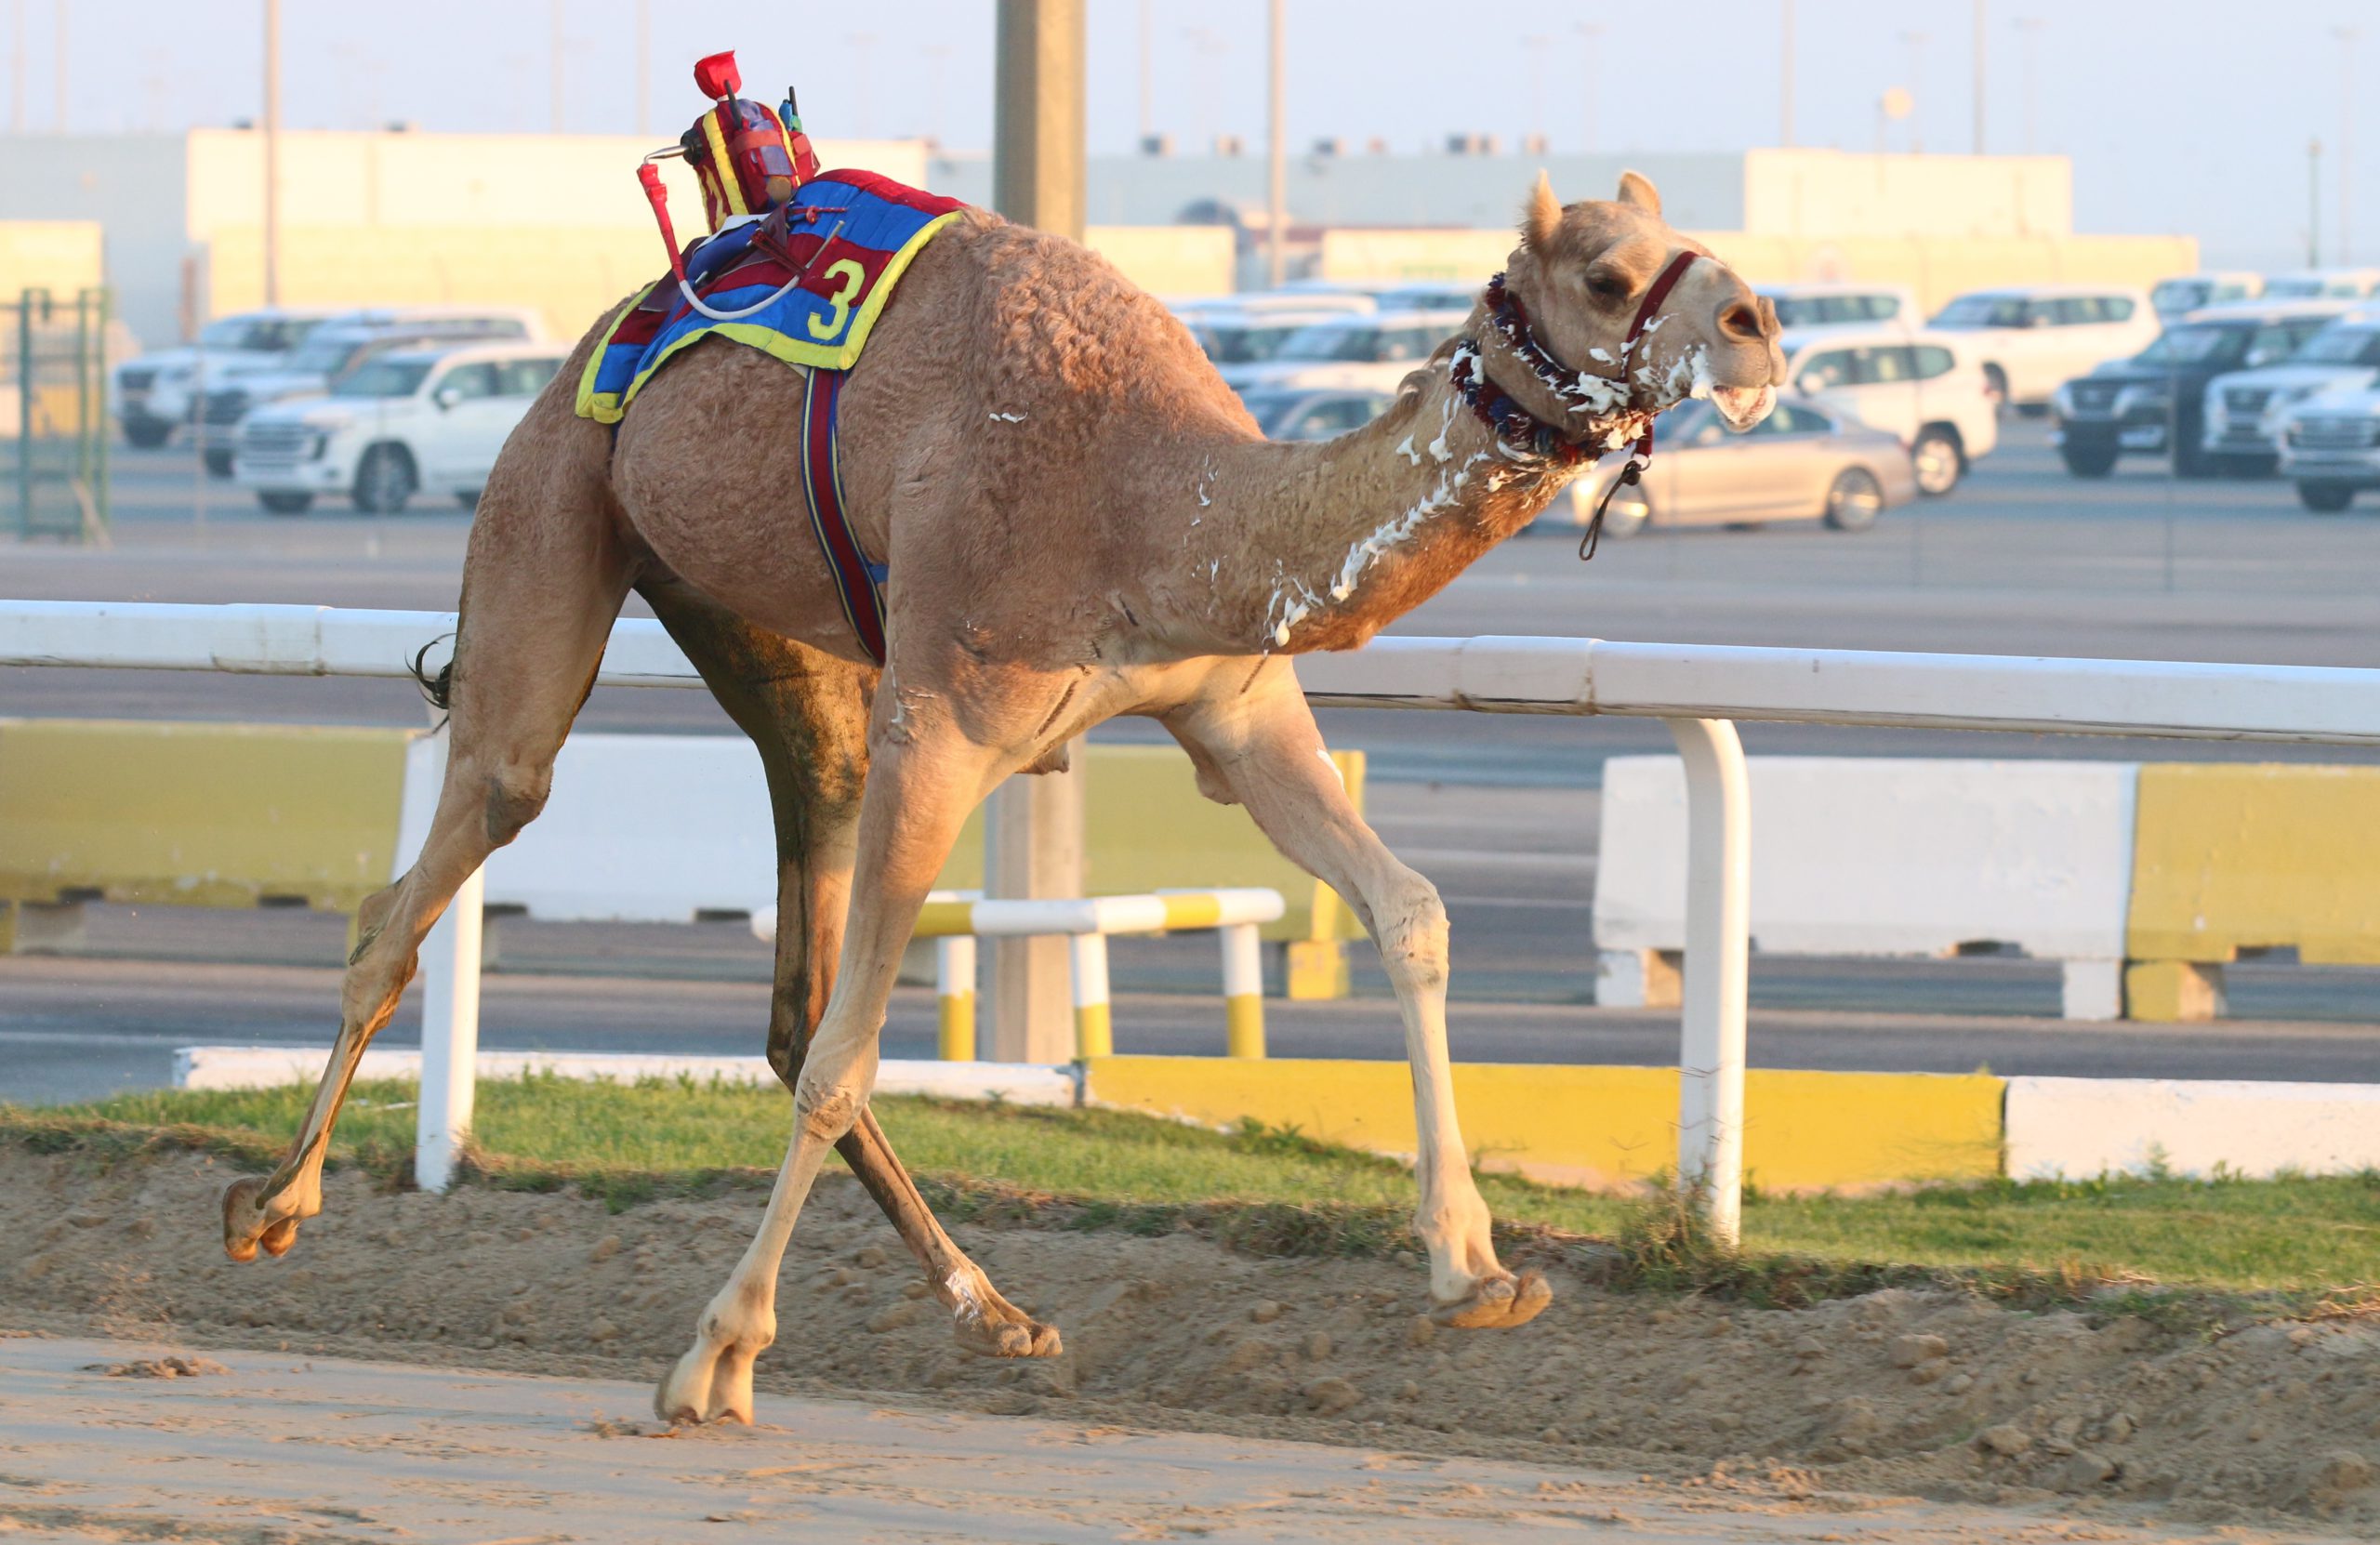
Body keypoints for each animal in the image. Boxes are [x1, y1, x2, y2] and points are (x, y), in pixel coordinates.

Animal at [223, 168, 1779, 1419]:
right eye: (1608, 273)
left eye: (1684, 238)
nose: (1759, 322)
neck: (1158, 504)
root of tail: (604, 339)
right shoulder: (946, 719)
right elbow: (851, 1056)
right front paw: (715, 1355)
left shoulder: (1234, 707)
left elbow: (1411, 910)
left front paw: (1476, 1267)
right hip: (556, 508)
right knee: (460, 843)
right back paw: (269, 1203)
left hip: (774, 644)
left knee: (791, 986)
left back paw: (998, 1309)